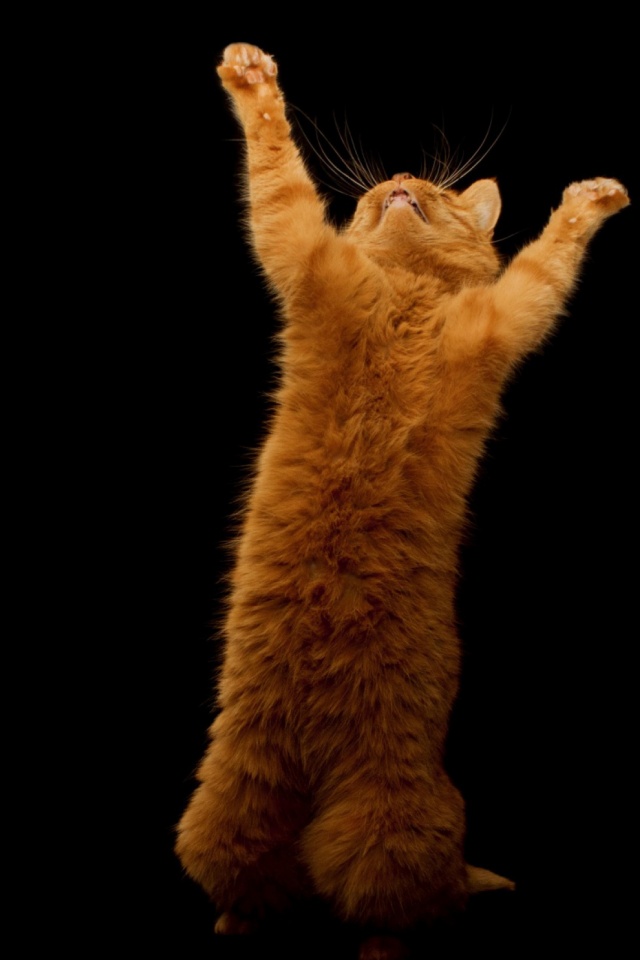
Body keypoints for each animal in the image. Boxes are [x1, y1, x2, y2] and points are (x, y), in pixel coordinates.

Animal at [175, 42, 629, 960]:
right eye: (380, 186)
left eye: (442, 193)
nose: (398, 181)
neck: (407, 297)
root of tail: (316, 781)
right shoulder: (302, 252)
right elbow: (274, 169)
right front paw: (251, 79)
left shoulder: (505, 315)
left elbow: (547, 257)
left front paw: (589, 201)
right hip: (229, 809)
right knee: (267, 887)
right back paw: (238, 923)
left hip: (384, 824)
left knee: (398, 904)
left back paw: (382, 944)